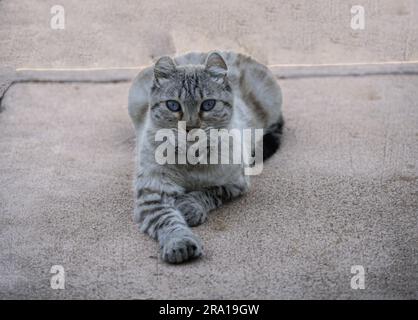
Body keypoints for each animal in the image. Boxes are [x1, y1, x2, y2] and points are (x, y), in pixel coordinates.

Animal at [128, 51, 284, 264]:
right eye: (173, 105)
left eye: (208, 105)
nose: (190, 128)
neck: (191, 157)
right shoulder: (153, 194)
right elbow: (169, 222)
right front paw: (180, 243)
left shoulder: (235, 182)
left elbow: (207, 192)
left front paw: (188, 207)